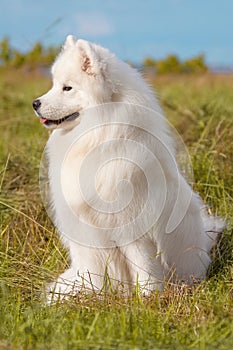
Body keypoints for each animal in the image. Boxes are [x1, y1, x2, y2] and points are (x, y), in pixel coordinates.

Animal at [31, 34, 223, 300]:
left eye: (67, 88)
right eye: (54, 84)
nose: (35, 103)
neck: (97, 135)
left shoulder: (131, 225)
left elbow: (143, 265)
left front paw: (148, 297)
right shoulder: (87, 229)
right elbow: (93, 271)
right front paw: (90, 295)